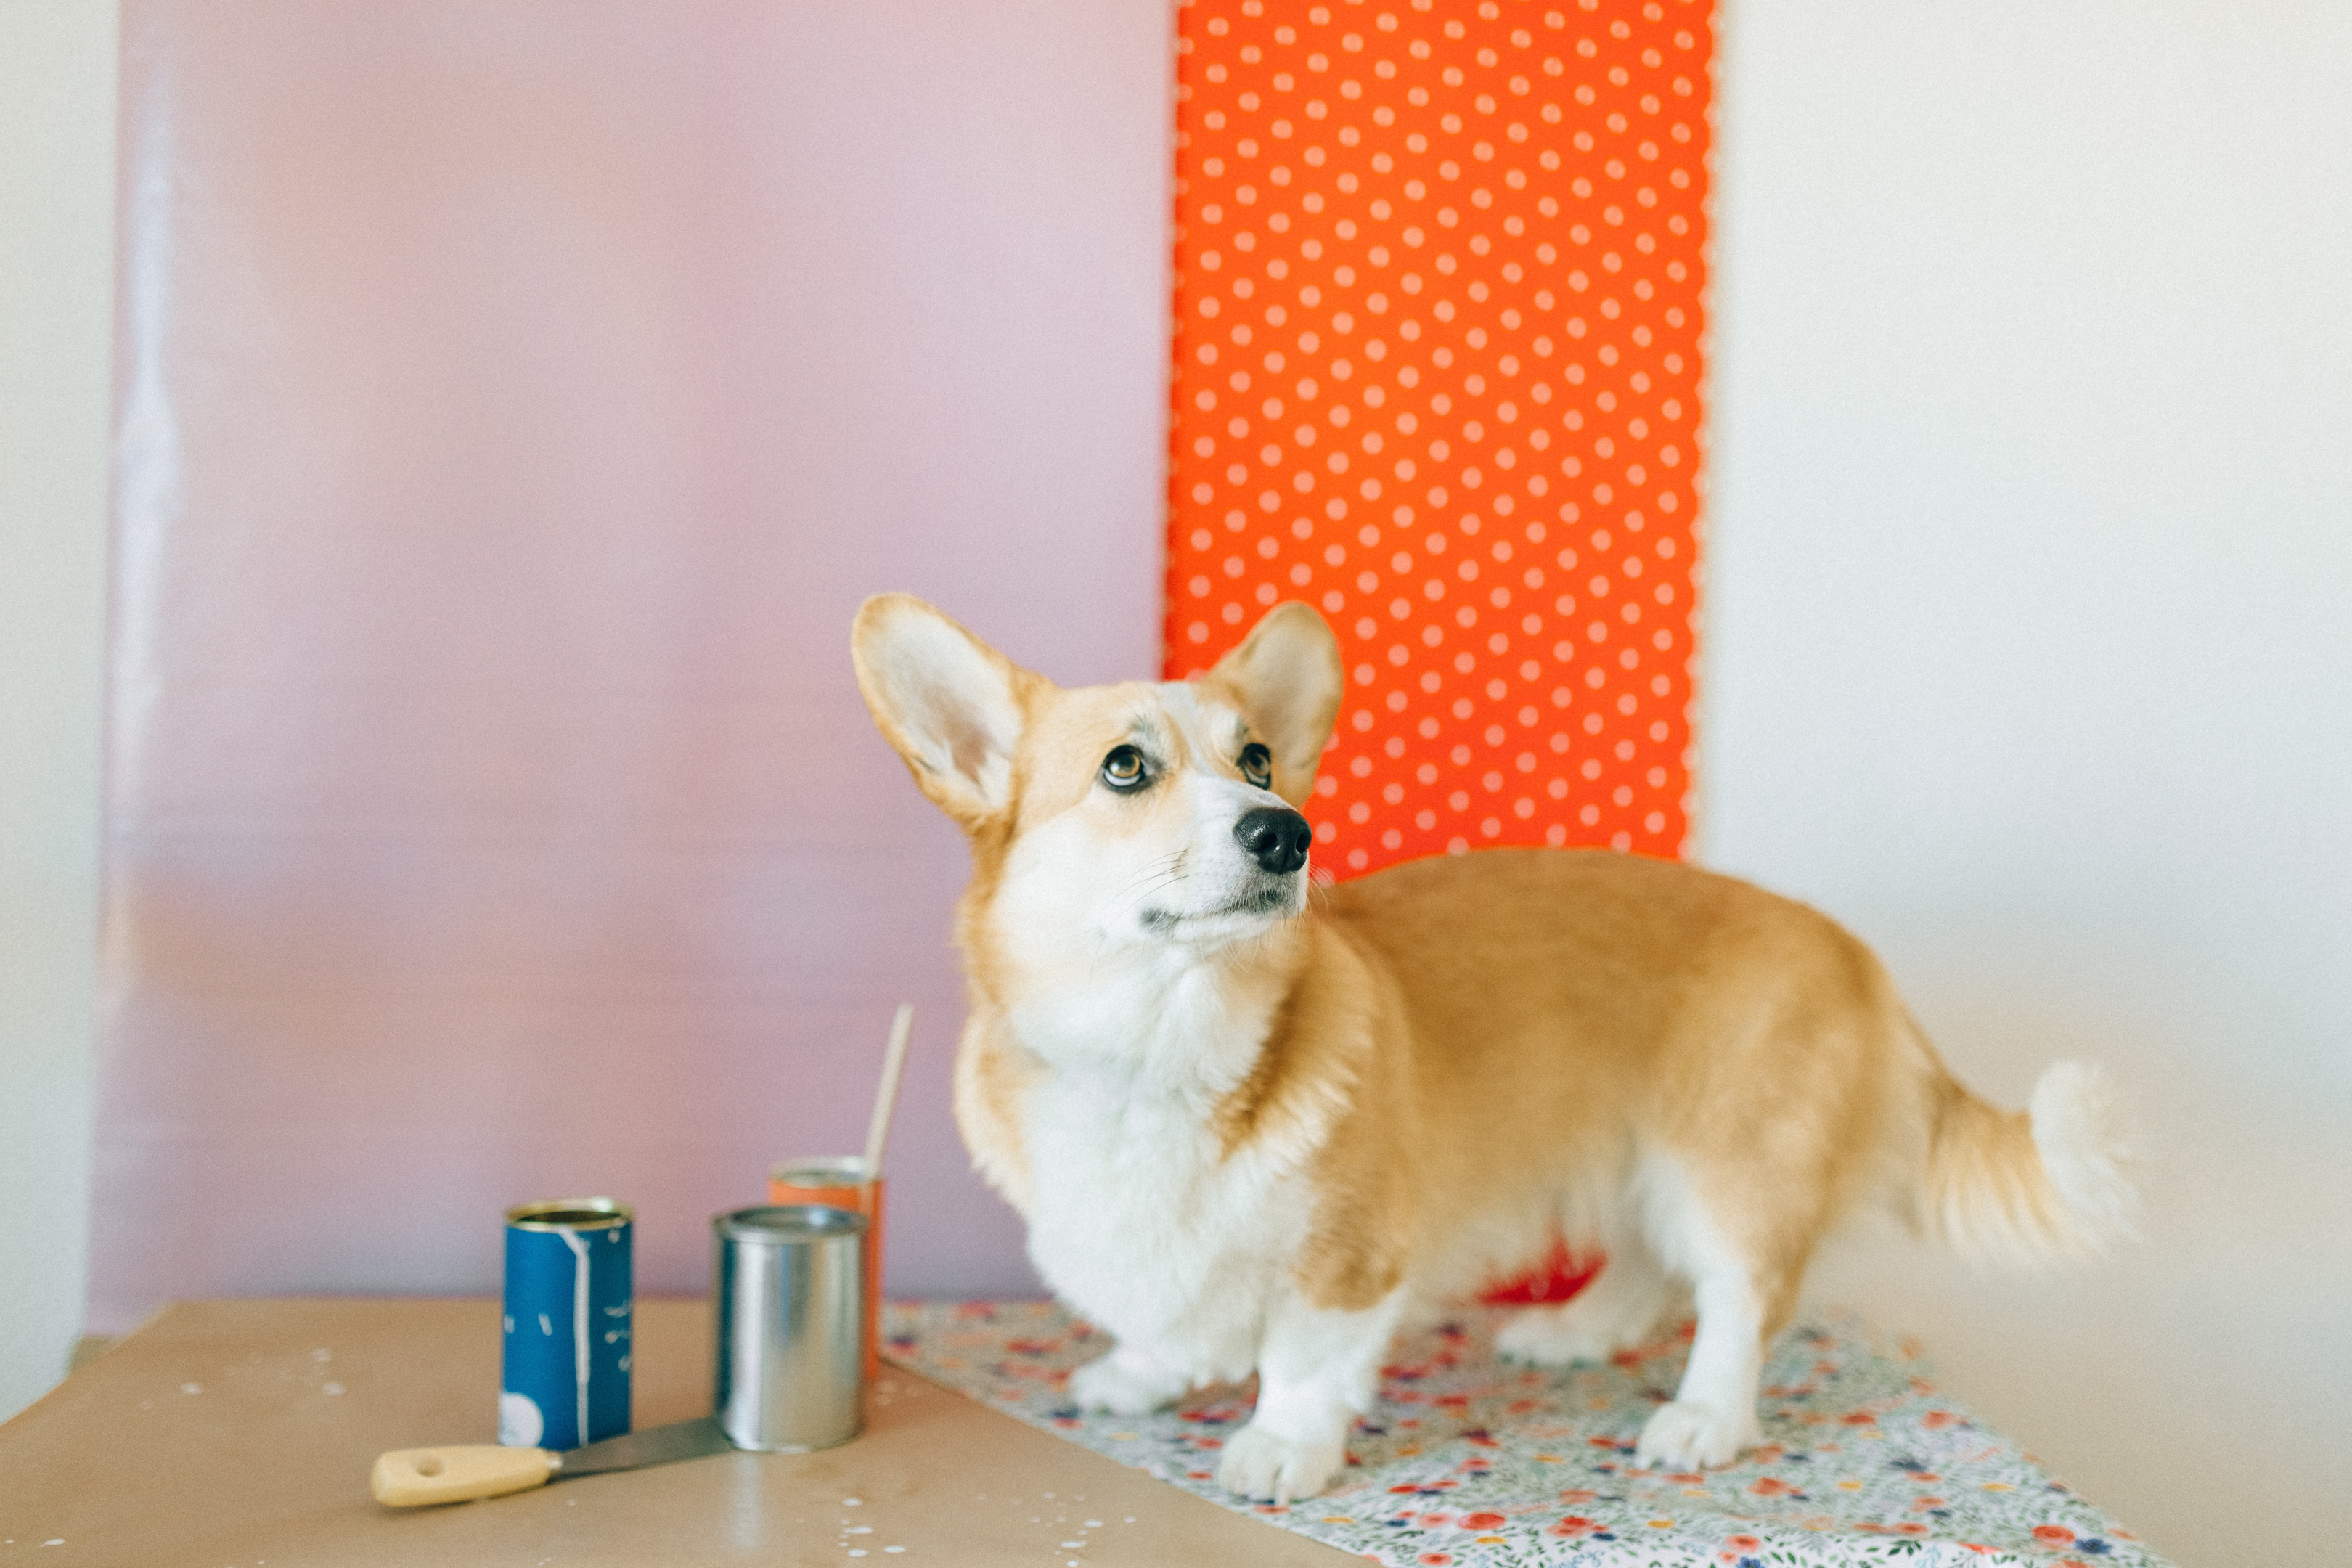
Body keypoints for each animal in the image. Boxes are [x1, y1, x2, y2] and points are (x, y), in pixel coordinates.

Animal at [851, 592, 2135, 1504]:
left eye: (1256, 760)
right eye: (1126, 767)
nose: (1286, 833)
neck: (1158, 1045)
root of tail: (1849, 948)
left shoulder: (1354, 1255)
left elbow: (1307, 1356)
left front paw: (1279, 1444)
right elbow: (1160, 1318)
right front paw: (1142, 1373)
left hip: (1725, 1162)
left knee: (1740, 1295)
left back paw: (1704, 1419)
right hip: (1634, 1151)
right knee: (1652, 1264)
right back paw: (1574, 1330)